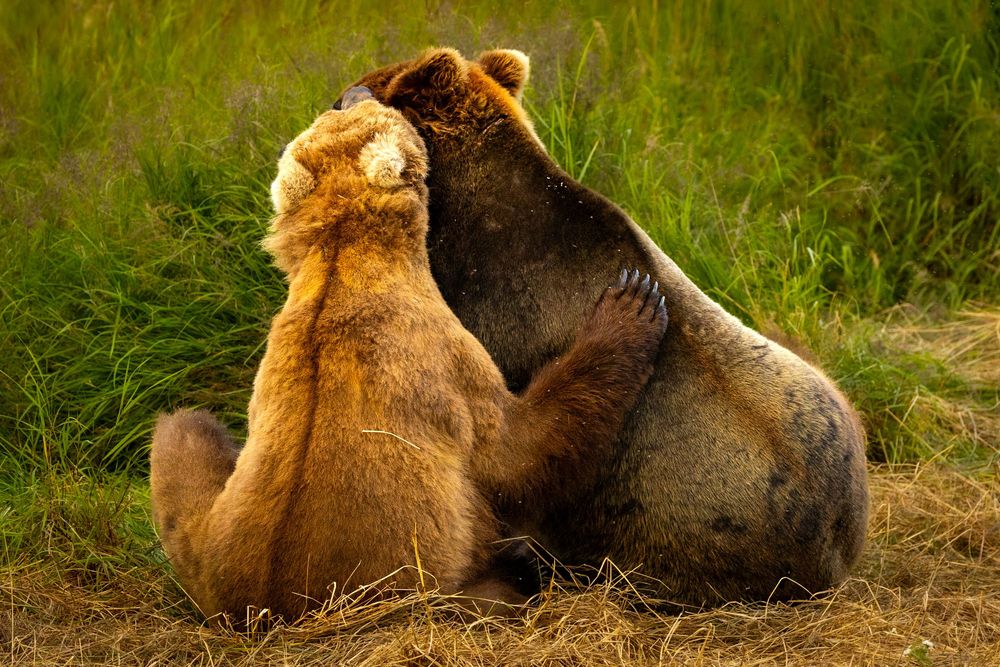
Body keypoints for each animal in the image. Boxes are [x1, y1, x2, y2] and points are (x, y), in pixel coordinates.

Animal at [149, 88, 669, 622]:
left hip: (212, 538)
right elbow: (518, 450)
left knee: (182, 433)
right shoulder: (440, 361)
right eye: (366, 110)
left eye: (339, 110)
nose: (353, 93)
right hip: (422, 587)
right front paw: (632, 305)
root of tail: (270, 610)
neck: (348, 254)